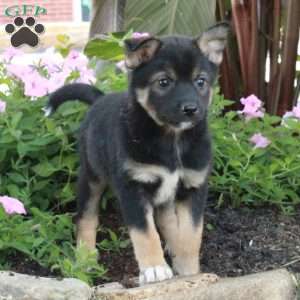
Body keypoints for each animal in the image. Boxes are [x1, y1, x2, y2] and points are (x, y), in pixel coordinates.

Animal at [45, 23, 229, 284]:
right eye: (164, 82)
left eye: (201, 81)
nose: (191, 109)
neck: (171, 139)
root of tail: (100, 99)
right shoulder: (133, 186)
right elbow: (145, 233)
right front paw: (154, 268)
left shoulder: (193, 186)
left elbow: (192, 234)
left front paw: (188, 269)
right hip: (92, 176)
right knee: (86, 216)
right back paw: (86, 257)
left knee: (167, 217)